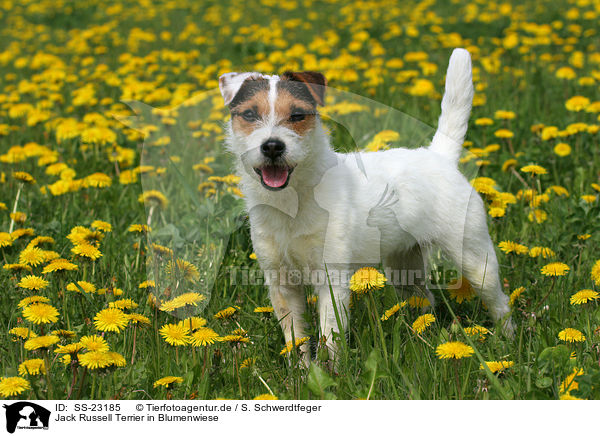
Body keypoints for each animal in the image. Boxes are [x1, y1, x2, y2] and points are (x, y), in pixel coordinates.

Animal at [218, 48, 512, 364]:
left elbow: (330, 333)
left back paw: (506, 339)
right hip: (404, 266)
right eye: (250, 114)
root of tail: (439, 156)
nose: (272, 146)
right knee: (425, 300)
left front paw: (333, 369)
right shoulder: (281, 283)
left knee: (498, 300)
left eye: (297, 115)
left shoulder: (332, 279)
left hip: (474, 256)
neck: (294, 199)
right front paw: (302, 370)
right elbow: (295, 337)